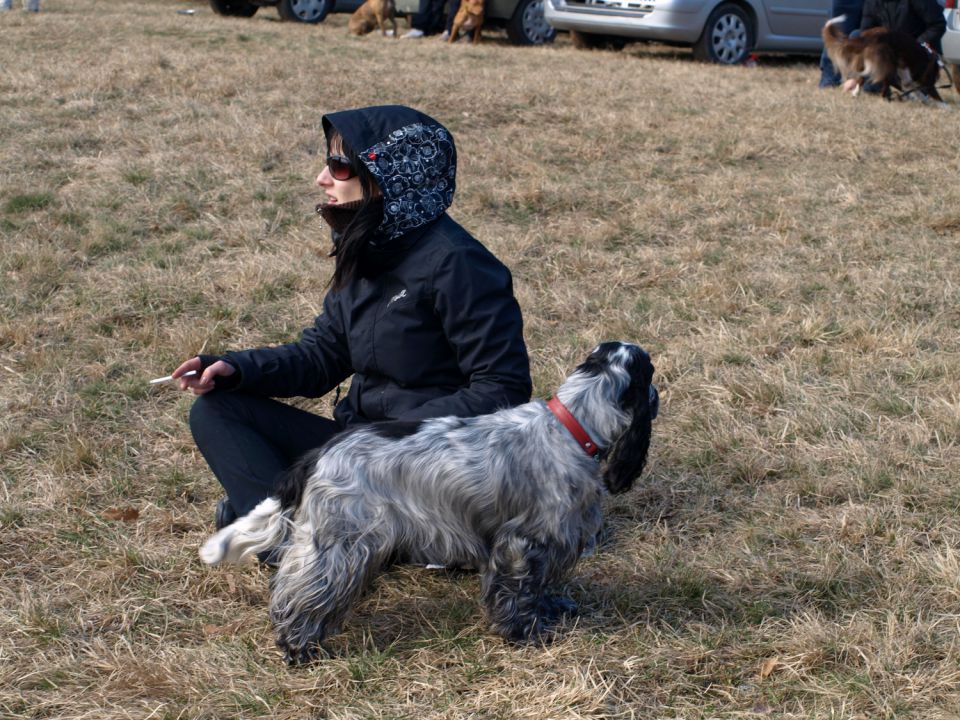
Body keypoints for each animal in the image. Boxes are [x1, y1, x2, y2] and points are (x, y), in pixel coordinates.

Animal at [199, 342, 656, 664]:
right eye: (650, 375)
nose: (657, 394)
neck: (572, 423)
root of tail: (321, 452)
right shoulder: (525, 542)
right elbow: (520, 591)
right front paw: (526, 633)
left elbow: (540, 586)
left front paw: (553, 610)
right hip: (343, 542)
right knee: (300, 590)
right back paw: (299, 647)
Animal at [816, 15, 944, 102]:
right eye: (934, 77)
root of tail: (868, 36)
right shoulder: (925, 80)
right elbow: (936, 96)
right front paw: (943, 107)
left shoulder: (907, 77)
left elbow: (912, 87)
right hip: (886, 62)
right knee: (884, 84)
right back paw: (886, 99)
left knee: (862, 78)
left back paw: (856, 93)